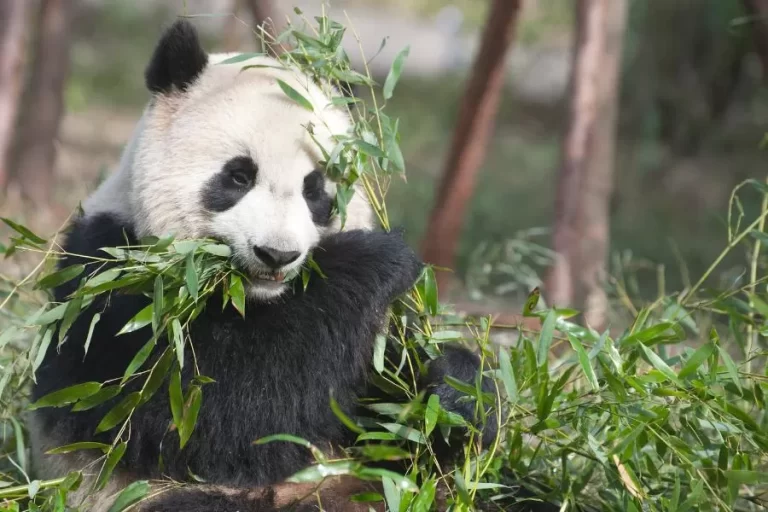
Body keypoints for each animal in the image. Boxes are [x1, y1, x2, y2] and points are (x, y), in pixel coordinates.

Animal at [27, 18, 498, 510]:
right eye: (238, 176)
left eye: (315, 189)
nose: (277, 254)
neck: (254, 298)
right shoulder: (113, 285)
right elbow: (204, 412)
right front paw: (374, 259)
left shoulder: (369, 343)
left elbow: (387, 399)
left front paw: (454, 392)